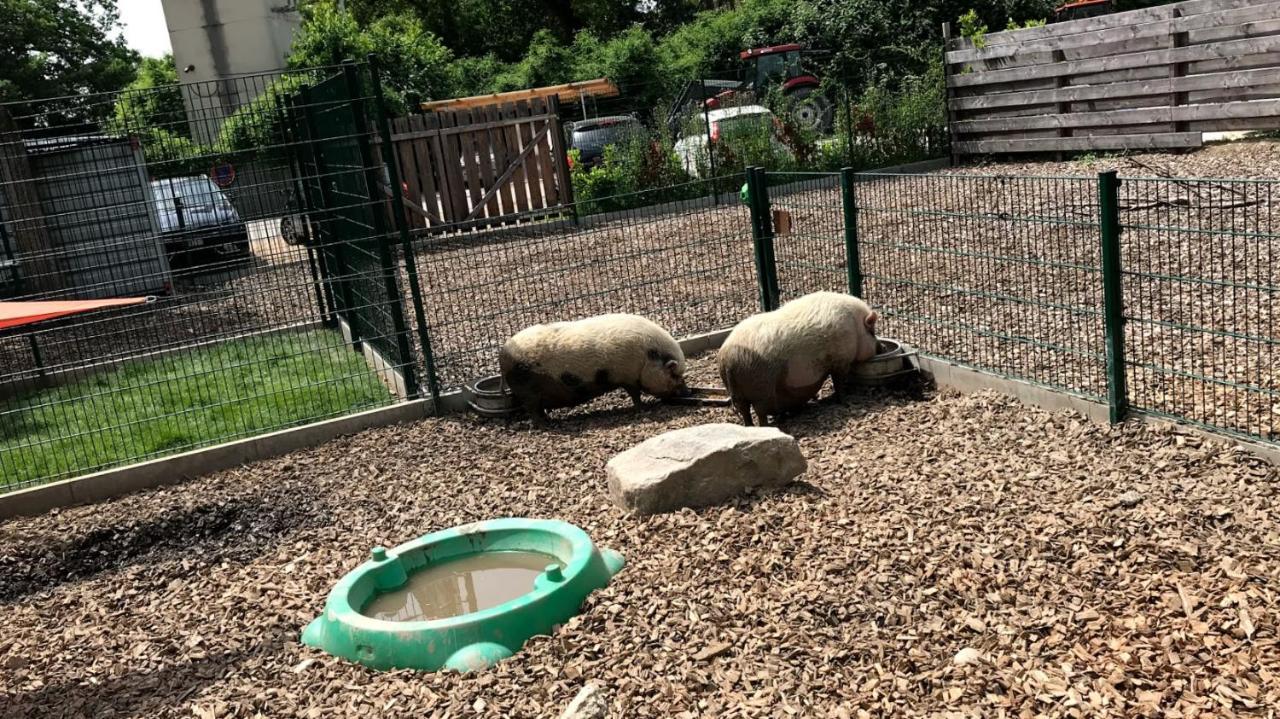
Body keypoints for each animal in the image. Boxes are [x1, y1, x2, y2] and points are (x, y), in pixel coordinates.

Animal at [496, 312, 691, 419]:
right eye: (674, 374)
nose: (688, 391)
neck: (647, 357)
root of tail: (503, 355)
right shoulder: (627, 376)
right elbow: (634, 394)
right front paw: (643, 408)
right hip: (526, 389)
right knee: (533, 410)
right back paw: (547, 424)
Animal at [721, 291, 880, 424]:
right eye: (872, 333)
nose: (881, 348)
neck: (855, 328)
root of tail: (729, 359)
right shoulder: (840, 361)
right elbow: (838, 383)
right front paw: (844, 399)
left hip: (738, 393)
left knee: (745, 411)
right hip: (761, 388)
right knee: (759, 412)